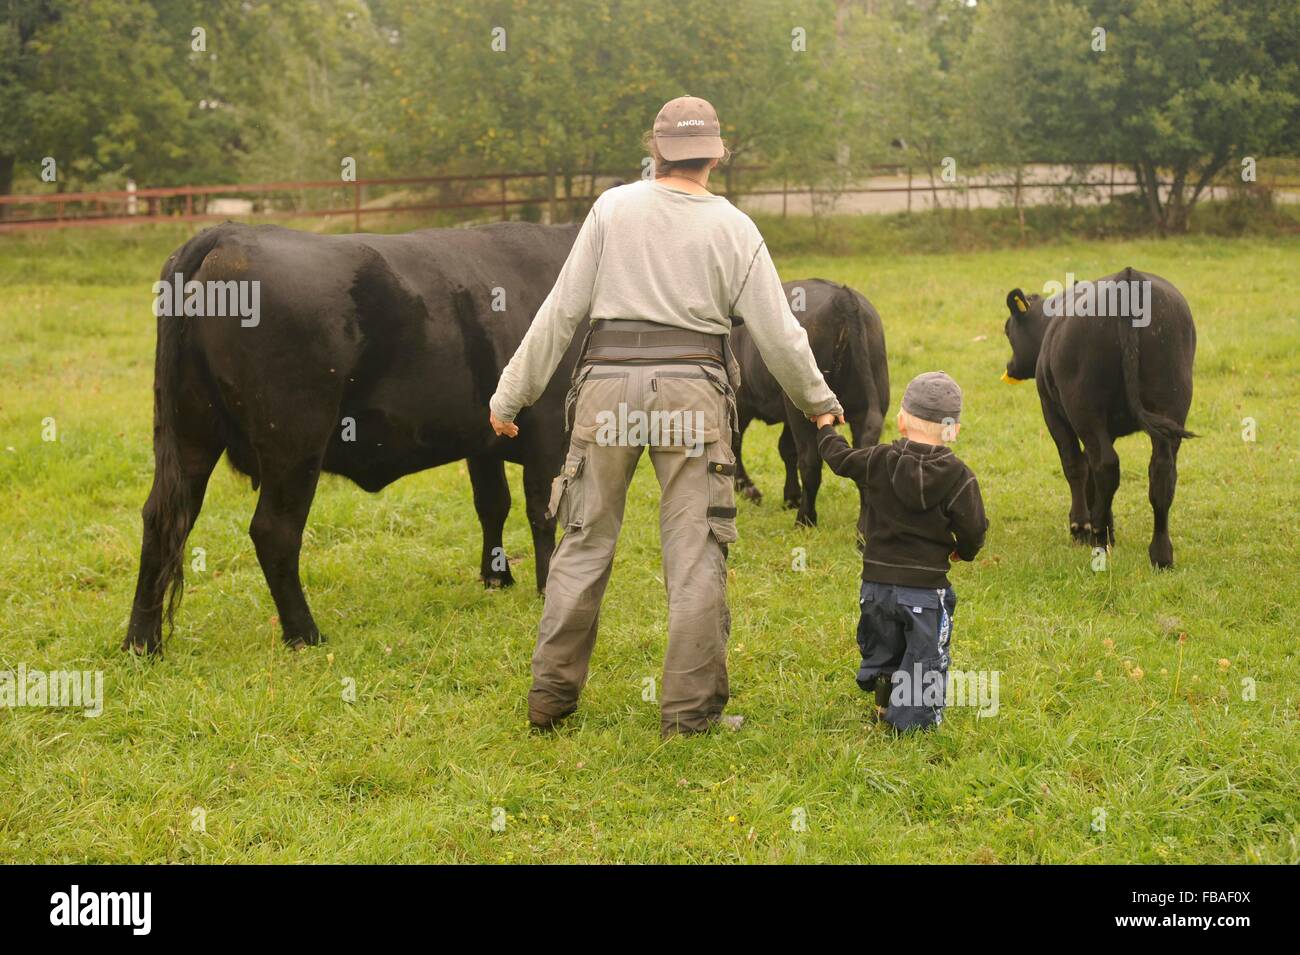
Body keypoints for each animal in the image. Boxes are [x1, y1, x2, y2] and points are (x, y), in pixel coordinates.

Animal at [126, 220, 585, 654]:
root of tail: (226, 235)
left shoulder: (484, 437)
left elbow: (492, 505)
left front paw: (496, 578)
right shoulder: (548, 425)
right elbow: (543, 512)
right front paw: (547, 589)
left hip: (190, 434)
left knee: (163, 520)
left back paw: (142, 643)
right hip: (294, 441)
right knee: (273, 531)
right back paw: (305, 634)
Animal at [1003, 267, 1196, 566]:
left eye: (1007, 329)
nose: (1010, 366)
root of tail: (1128, 278)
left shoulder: (1053, 413)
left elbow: (1076, 466)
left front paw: (1080, 526)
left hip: (1084, 406)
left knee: (1105, 465)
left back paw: (1097, 536)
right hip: (1172, 403)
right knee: (1161, 471)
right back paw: (1160, 554)